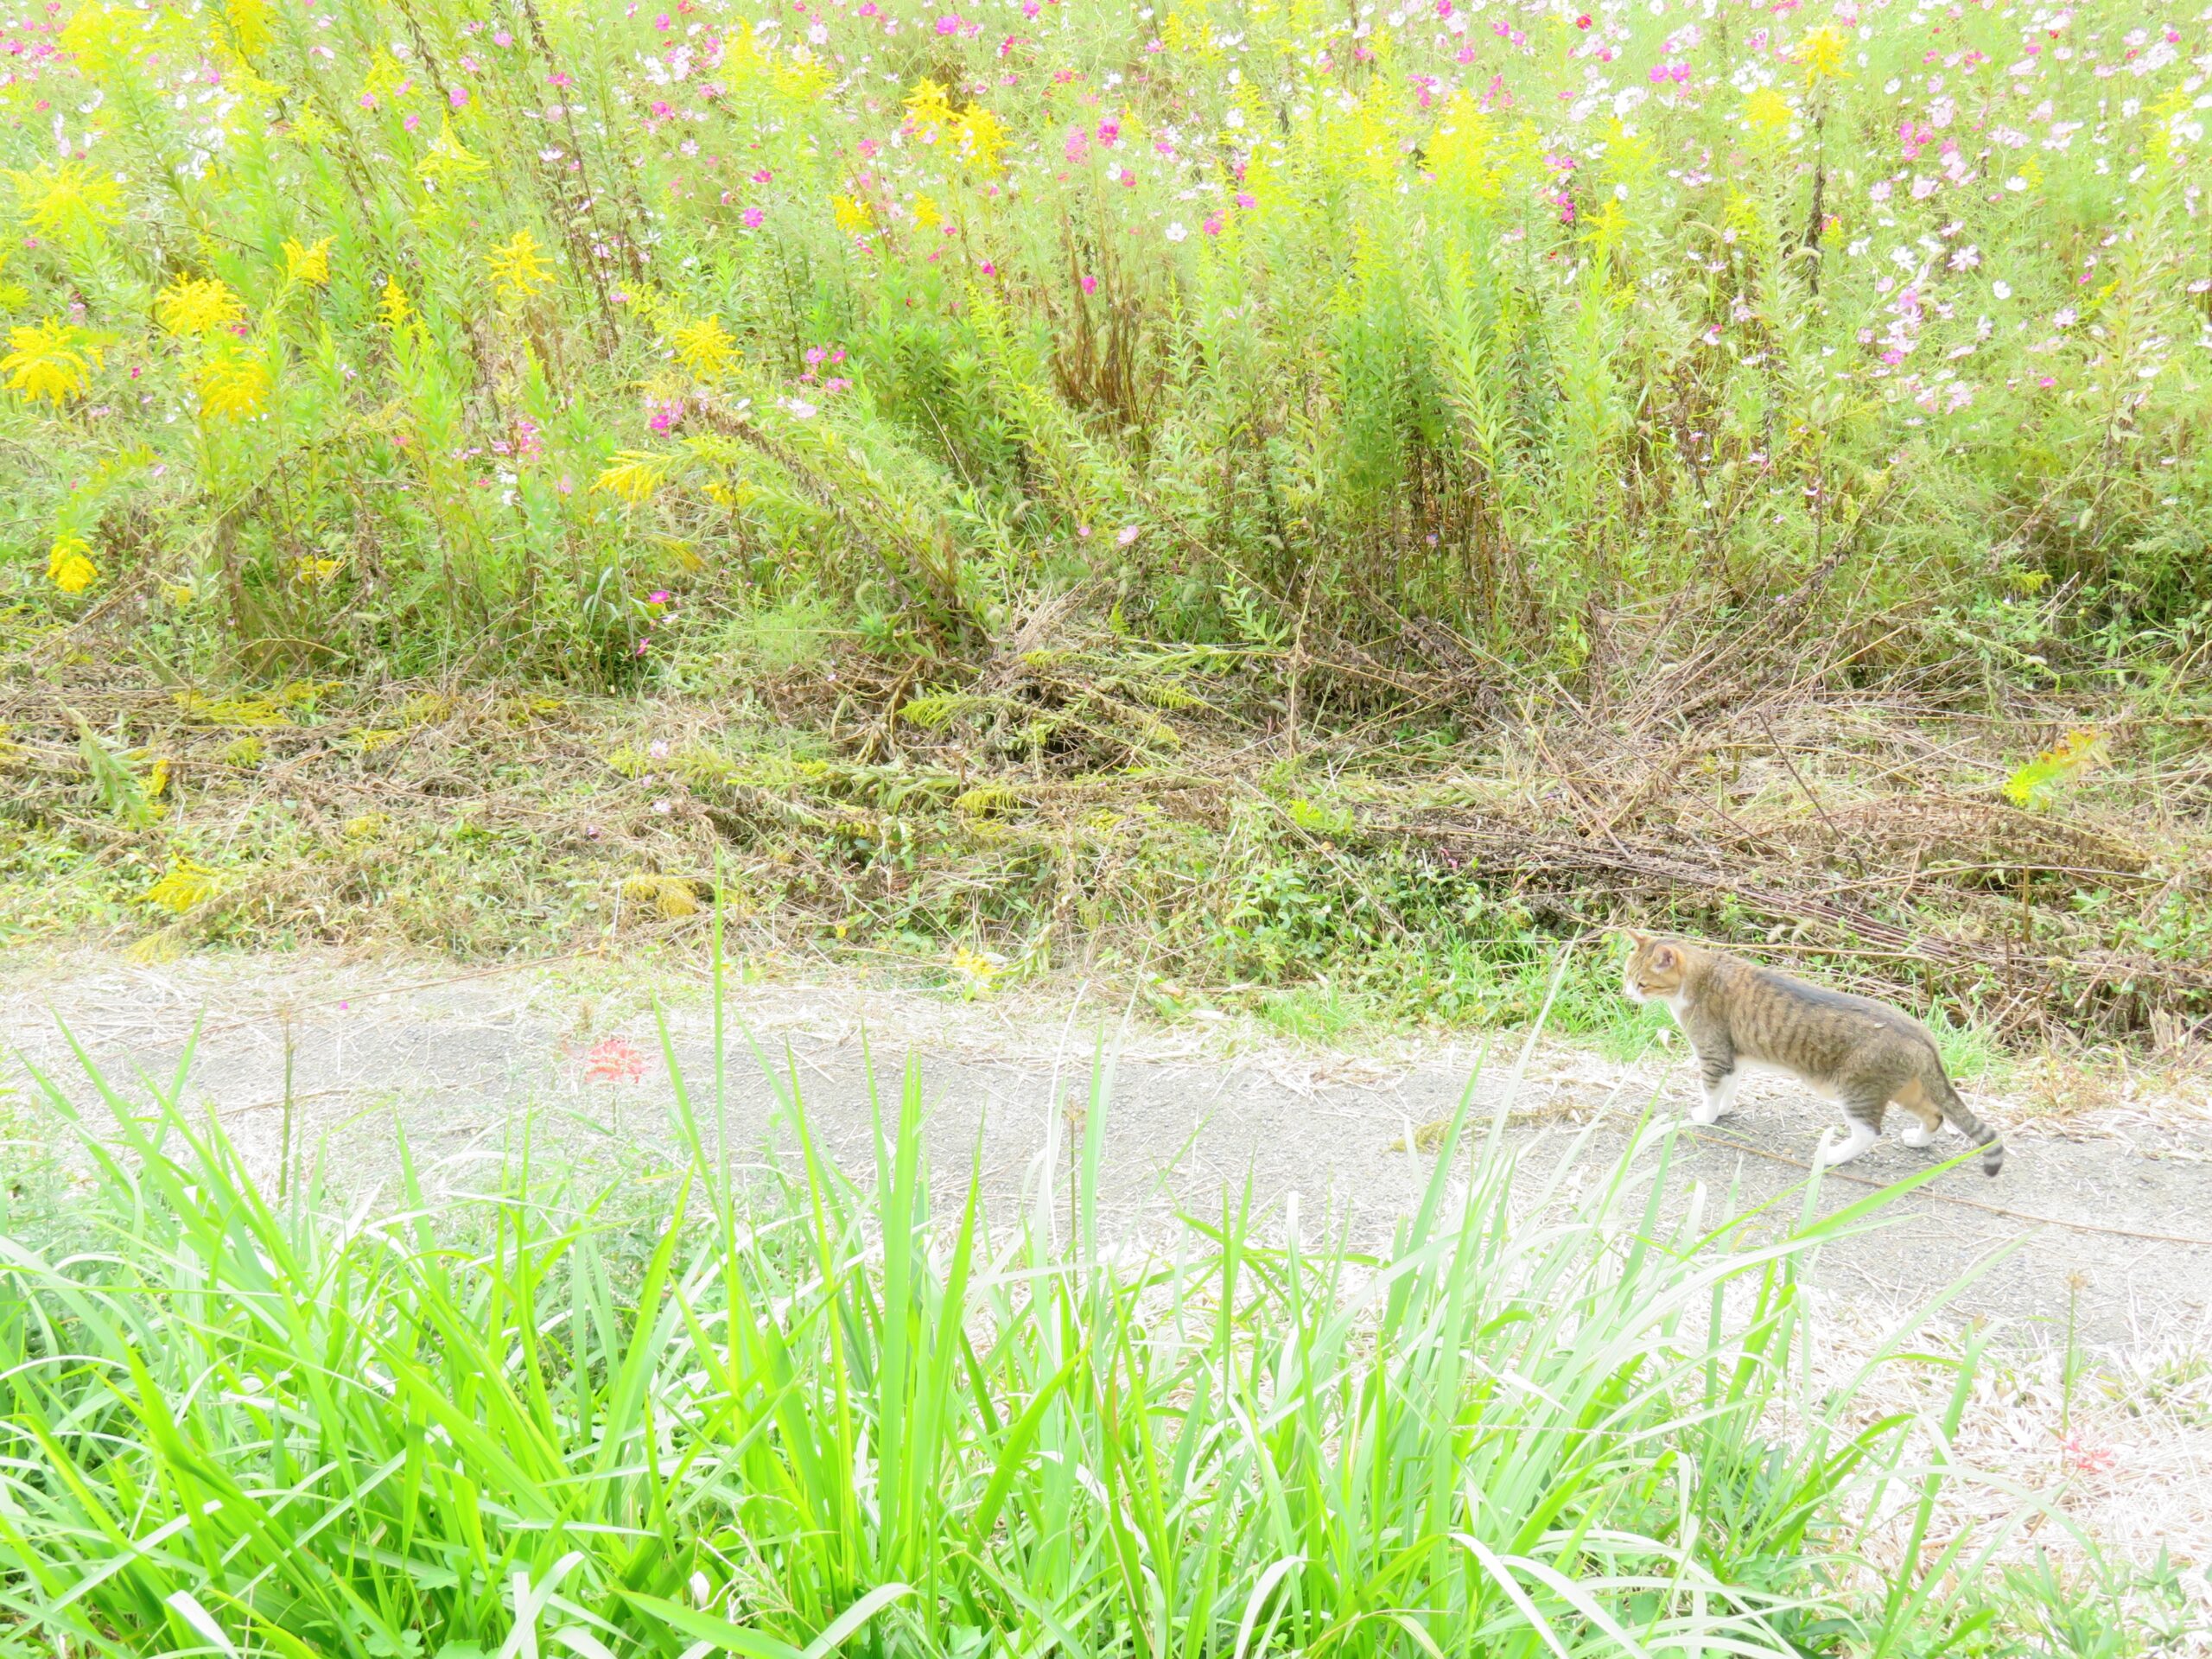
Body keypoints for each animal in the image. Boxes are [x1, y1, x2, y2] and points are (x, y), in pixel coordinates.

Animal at [1628, 938, 2008, 1185]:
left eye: (1642, 983)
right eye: (1627, 977)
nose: (1627, 994)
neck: (1701, 975)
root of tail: (1920, 1033)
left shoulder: (1713, 1053)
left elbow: (1710, 1091)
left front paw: (1705, 1116)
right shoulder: (1732, 1056)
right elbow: (1728, 1089)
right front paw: (1723, 1110)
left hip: (1856, 1089)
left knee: (1869, 1132)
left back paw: (1833, 1156)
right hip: (1903, 1088)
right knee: (1935, 1114)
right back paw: (1917, 1140)